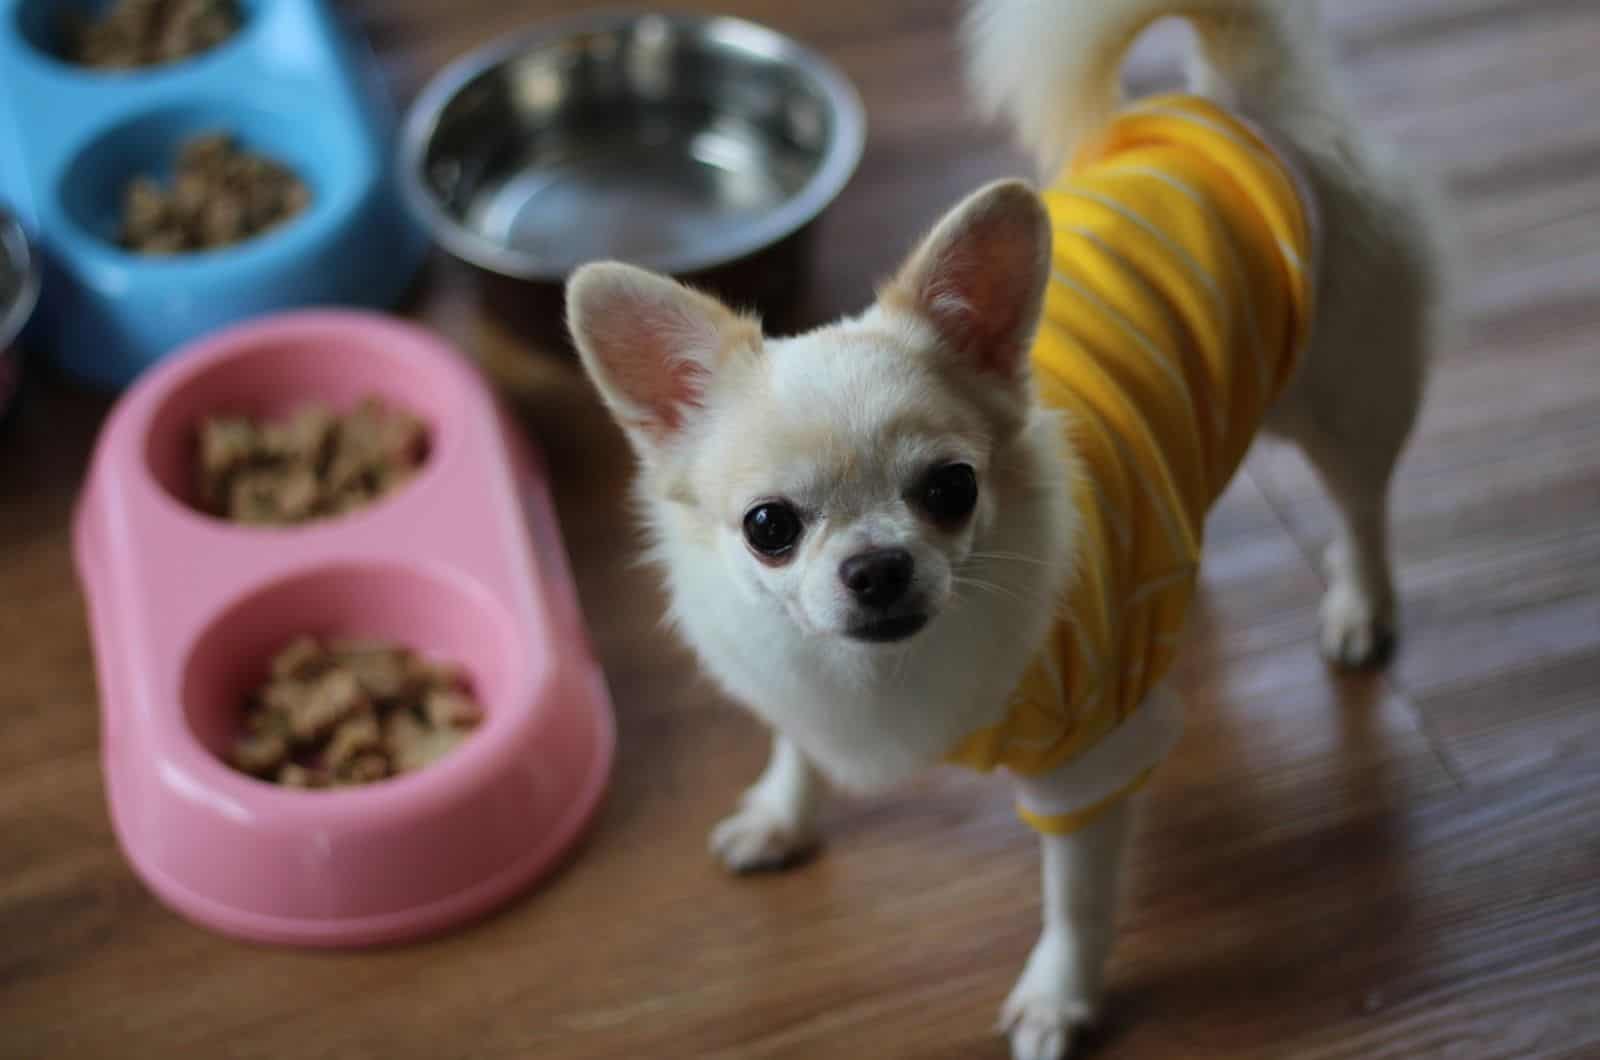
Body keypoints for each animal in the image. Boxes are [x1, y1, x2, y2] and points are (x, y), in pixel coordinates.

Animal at [560, 4, 1440, 1056]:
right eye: (768, 527)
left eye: (952, 489)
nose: (877, 566)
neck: (879, 674)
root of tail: (1232, 102)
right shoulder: (796, 686)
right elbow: (797, 745)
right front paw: (780, 814)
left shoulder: (1087, 764)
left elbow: (1076, 899)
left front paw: (1060, 996)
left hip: (1344, 403)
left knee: (1362, 507)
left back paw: (1361, 607)